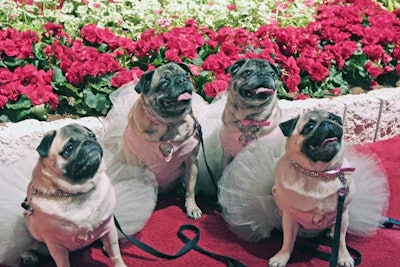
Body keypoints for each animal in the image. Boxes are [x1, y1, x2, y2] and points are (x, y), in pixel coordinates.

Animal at [20, 124, 126, 267]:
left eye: (93, 137)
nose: (89, 142)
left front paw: (119, 264)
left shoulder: (108, 228)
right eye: (69, 148)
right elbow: (63, 263)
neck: (77, 192)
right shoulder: (56, 245)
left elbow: (115, 254)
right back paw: (29, 257)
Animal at [122, 62, 202, 220]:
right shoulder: (137, 166)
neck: (169, 123)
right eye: (164, 83)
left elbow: (191, 190)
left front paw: (192, 207)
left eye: (186, 75)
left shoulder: (191, 161)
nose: (181, 80)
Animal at [270, 110, 354, 267]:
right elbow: (288, 241)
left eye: (334, 119)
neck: (320, 174)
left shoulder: (342, 215)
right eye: (309, 127)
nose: (327, 123)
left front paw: (344, 257)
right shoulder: (290, 217)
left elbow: (341, 241)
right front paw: (281, 257)